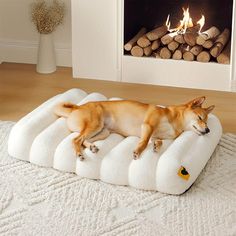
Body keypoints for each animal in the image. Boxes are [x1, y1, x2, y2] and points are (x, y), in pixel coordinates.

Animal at [54, 96, 215, 160]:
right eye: (200, 118)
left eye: (207, 122)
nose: (208, 130)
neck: (175, 121)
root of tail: (76, 107)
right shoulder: (148, 126)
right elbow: (143, 142)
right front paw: (138, 151)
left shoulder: (155, 134)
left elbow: (158, 141)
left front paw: (156, 146)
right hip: (96, 124)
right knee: (76, 140)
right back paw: (79, 154)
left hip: (103, 132)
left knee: (83, 140)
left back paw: (92, 147)